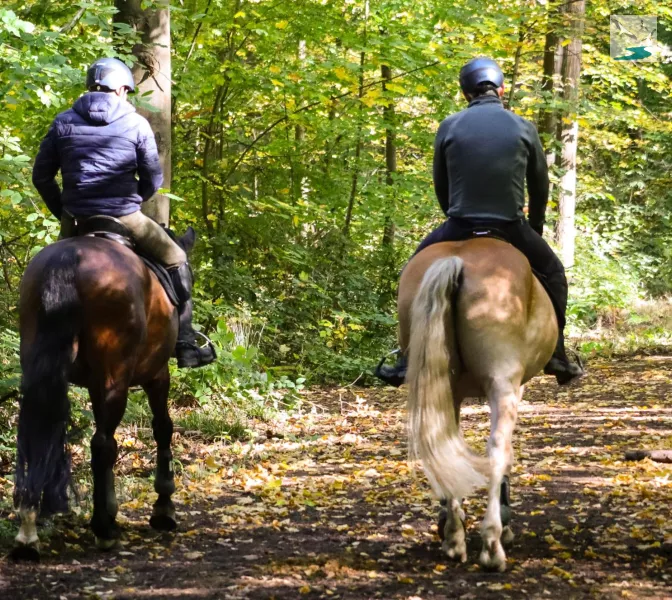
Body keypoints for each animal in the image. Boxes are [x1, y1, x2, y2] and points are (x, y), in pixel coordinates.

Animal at [12, 228, 196, 560]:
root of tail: (69, 258)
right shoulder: (156, 373)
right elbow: (162, 428)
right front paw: (163, 509)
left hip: (40, 368)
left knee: (41, 431)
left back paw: (29, 530)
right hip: (116, 374)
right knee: (101, 445)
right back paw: (103, 530)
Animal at [400, 237, 557, 572]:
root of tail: (456, 259)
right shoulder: (516, 387)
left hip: (442, 383)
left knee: (443, 442)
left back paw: (453, 538)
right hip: (502, 383)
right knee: (497, 449)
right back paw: (492, 544)